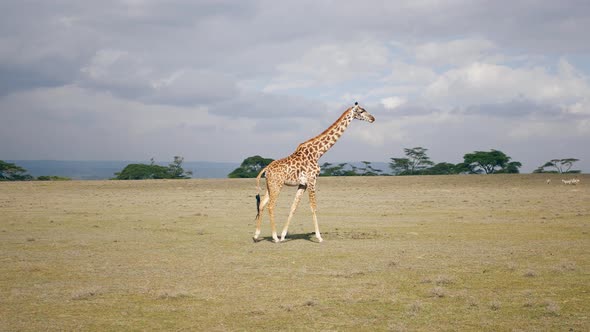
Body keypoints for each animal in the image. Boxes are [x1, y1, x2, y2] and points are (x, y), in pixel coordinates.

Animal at [253, 102, 374, 243]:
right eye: (361, 111)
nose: (372, 118)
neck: (318, 153)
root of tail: (266, 169)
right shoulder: (312, 180)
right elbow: (313, 207)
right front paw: (319, 237)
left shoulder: (303, 184)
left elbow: (293, 207)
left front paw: (283, 235)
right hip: (277, 185)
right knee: (270, 206)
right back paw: (274, 237)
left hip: (270, 186)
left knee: (262, 204)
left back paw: (256, 235)